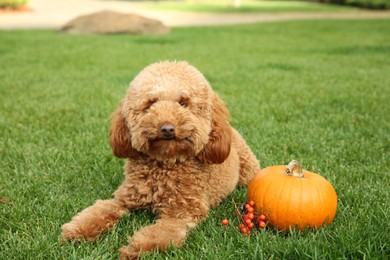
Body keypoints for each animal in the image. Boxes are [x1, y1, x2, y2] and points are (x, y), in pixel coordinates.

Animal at [61, 61, 260, 258]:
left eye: (183, 103)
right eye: (150, 103)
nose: (167, 129)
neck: (164, 164)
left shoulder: (181, 213)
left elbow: (160, 234)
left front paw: (136, 248)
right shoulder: (122, 199)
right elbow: (99, 211)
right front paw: (76, 231)